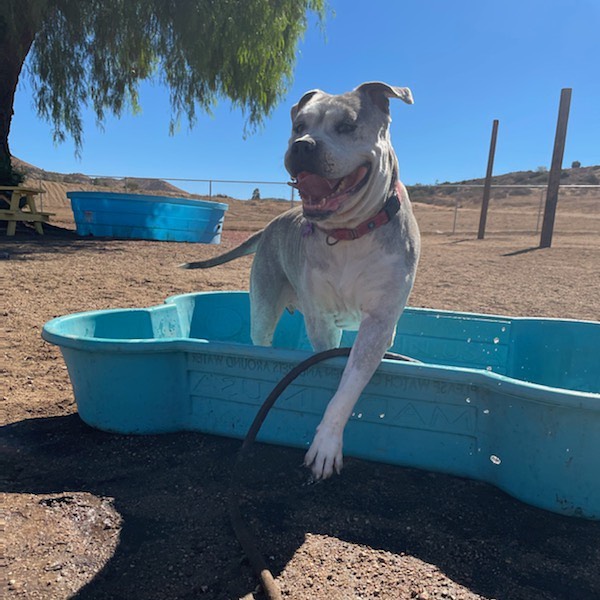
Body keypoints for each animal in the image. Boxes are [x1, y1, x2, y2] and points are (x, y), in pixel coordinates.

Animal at [180, 82, 420, 480]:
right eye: (298, 126)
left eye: (347, 125)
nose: (303, 146)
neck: (350, 233)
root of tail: (268, 227)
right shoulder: (321, 320)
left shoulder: (380, 323)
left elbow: (348, 385)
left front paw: (326, 444)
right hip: (263, 310)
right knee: (261, 338)